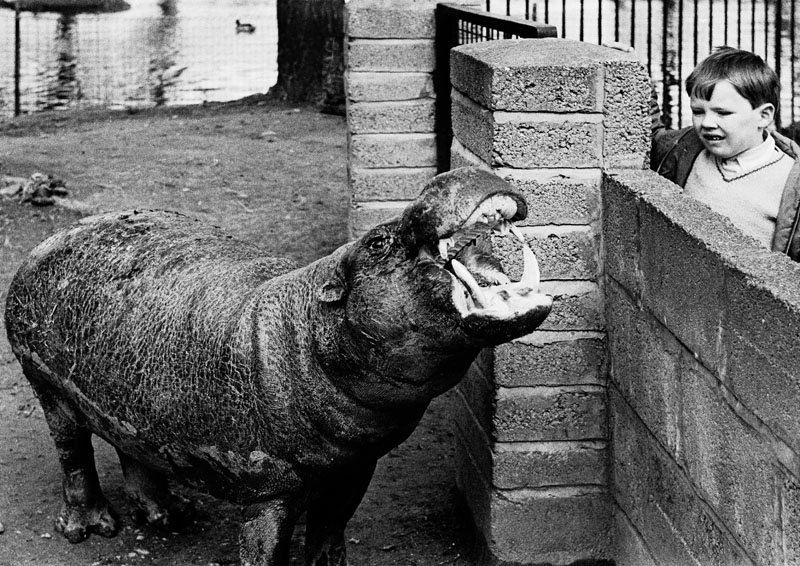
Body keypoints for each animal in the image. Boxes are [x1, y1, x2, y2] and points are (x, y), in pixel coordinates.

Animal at [4, 167, 552, 566]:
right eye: (375, 242)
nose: (456, 172)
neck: (310, 322)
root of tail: (51, 238)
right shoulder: (267, 485)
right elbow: (265, 551)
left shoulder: (354, 466)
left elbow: (330, 535)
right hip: (46, 384)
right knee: (73, 453)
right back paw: (90, 529)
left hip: (130, 390)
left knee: (130, 441)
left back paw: (170, 516)